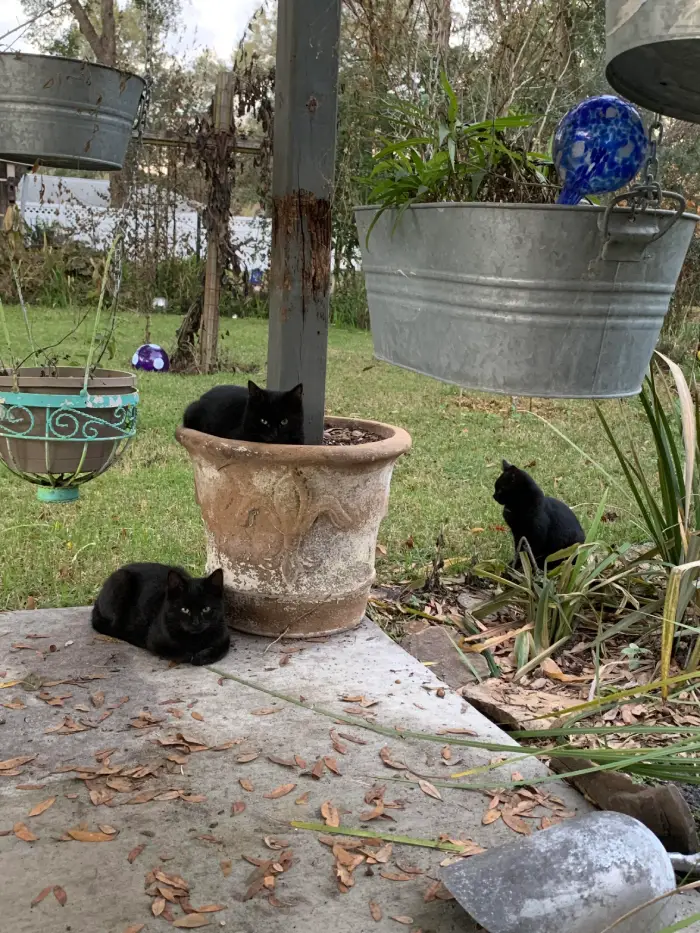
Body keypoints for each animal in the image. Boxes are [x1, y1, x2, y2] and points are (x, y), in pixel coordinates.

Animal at [91, 560, 230, 664]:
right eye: (184, 609)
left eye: (206, 609)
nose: (196, 623)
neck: (194, 639)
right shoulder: (155, 642)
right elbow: (179, 653)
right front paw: (191, 655)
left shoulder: (224, 638)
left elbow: (218, 651)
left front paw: (201, 656)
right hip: (121, 581)